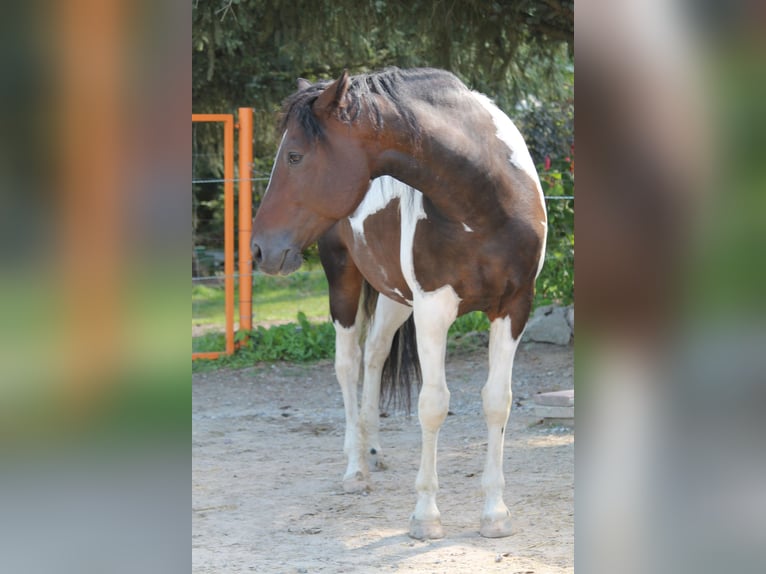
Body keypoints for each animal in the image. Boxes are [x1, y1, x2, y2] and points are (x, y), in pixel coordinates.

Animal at [251, 67, 547, 539]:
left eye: (294, 156)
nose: (260, 249)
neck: (487, 199)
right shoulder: (433, 310)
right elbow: (433, 404)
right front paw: (426, 515)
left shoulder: (514, 306)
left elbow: (497, 400)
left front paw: (495, 513)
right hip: (346, 283)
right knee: (348, 364)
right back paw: (356, 468)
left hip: (395, 296)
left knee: (374, 355)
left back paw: (371, 448)